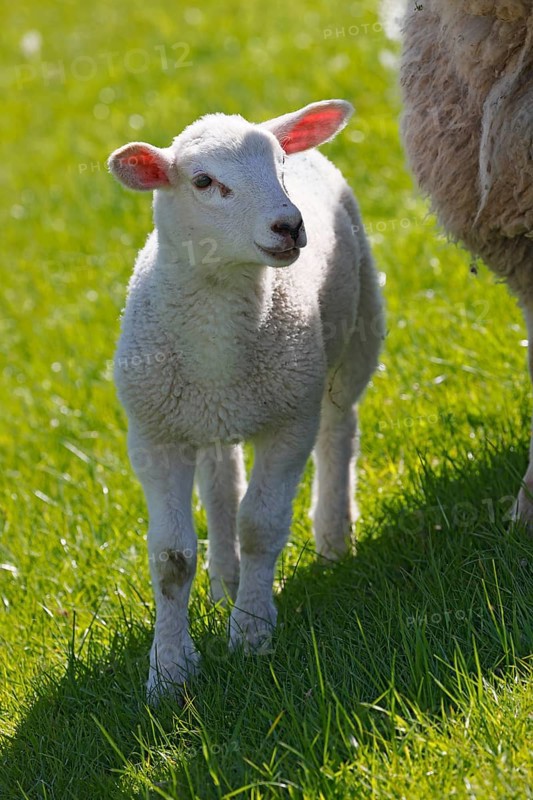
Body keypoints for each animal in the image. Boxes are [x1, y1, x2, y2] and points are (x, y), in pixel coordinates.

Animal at [107, 100, 384, 699]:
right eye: (203, 182)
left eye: (280, 164)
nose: (290, 225)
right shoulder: (155, 434)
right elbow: (171, 557)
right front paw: (169, 672)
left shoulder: (290, 422)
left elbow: (261, 526)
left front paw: (252, 633)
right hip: (209, 417)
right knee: (222, 478)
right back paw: (224, 580)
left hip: (357, 332)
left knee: (339, 429)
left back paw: (333, 539)